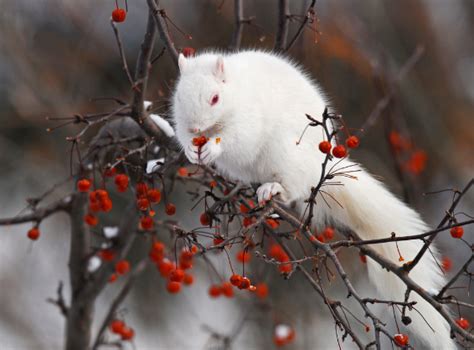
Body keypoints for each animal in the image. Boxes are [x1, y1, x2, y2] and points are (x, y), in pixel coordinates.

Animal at [170, 50, 456, 348]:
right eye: (178, 97)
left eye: (215, 98)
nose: (195, 127)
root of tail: (317, 171)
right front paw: (190, 148)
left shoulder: (248, 119)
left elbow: (236, 138)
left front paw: (214, 147)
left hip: (286, 157)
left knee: (293, 189)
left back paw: (273, 189)